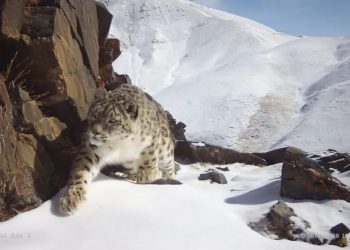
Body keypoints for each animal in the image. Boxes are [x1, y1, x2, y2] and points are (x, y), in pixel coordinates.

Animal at [59, 84, 178, 215]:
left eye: (113, 120)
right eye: (94, 114)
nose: (95, 132)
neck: (119, 144)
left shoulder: (150, 140)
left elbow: (148, 156)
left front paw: (147, 173)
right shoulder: (91, 149)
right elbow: (81, 170)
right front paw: (72, 198)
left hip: (166, 150)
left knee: (169, 166)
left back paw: (170, 177)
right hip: (129, 163)